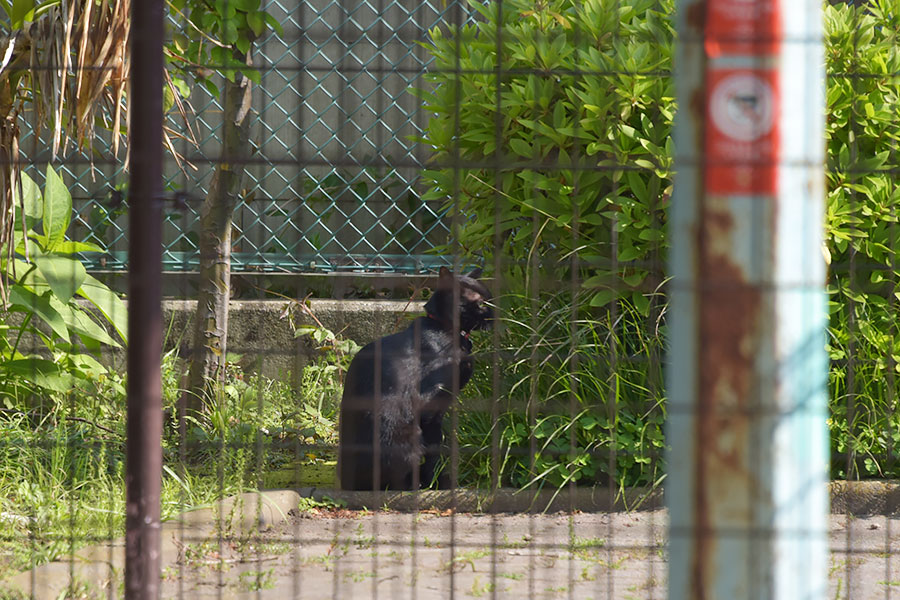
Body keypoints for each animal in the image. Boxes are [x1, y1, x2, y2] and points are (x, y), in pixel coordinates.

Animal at [338, 268, 492, 488]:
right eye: (481, 303)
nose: (496, 313)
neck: (444, 328)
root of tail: (347, 484)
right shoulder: (430, 406)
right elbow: (434, 447)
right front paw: (436, 481)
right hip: (406, 435)